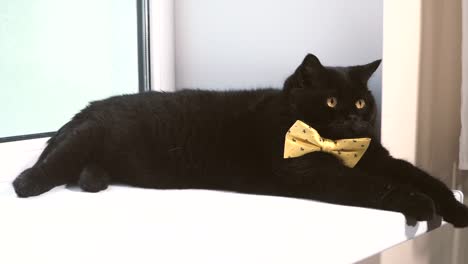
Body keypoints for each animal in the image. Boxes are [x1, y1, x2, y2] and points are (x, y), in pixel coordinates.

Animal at [12, 53, 468, 227]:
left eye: (360, 100)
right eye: (331, 100)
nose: (354, 118)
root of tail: (87, 108)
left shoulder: (377, 157)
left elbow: (423, 176)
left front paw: (455, 210)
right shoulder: (315, 173)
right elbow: (378, 187)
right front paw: (419, 205)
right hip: (85, 138)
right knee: (51, 162)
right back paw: (25, 183)